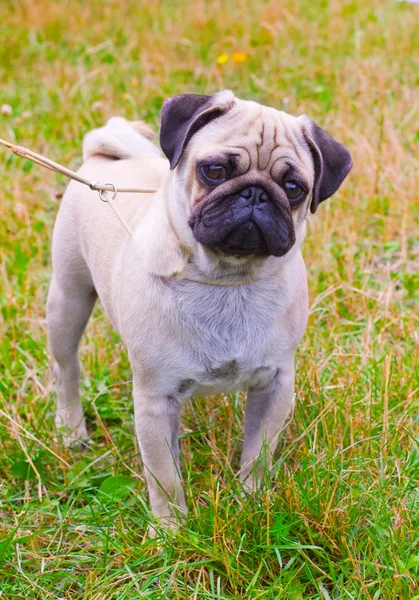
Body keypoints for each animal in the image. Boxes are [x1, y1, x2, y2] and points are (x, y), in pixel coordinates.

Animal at [47, 89, 352, 524]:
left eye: (294, 188)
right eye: (215, 170)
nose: (255, 193)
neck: (226, 280)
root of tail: (104, 158)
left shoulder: (276, 385)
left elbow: (258, 454)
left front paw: (252, 503)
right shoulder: (155, 402)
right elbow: (164, 477)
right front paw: (170, 528)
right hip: (68, 299)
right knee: (67, 368)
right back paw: (71, 430)